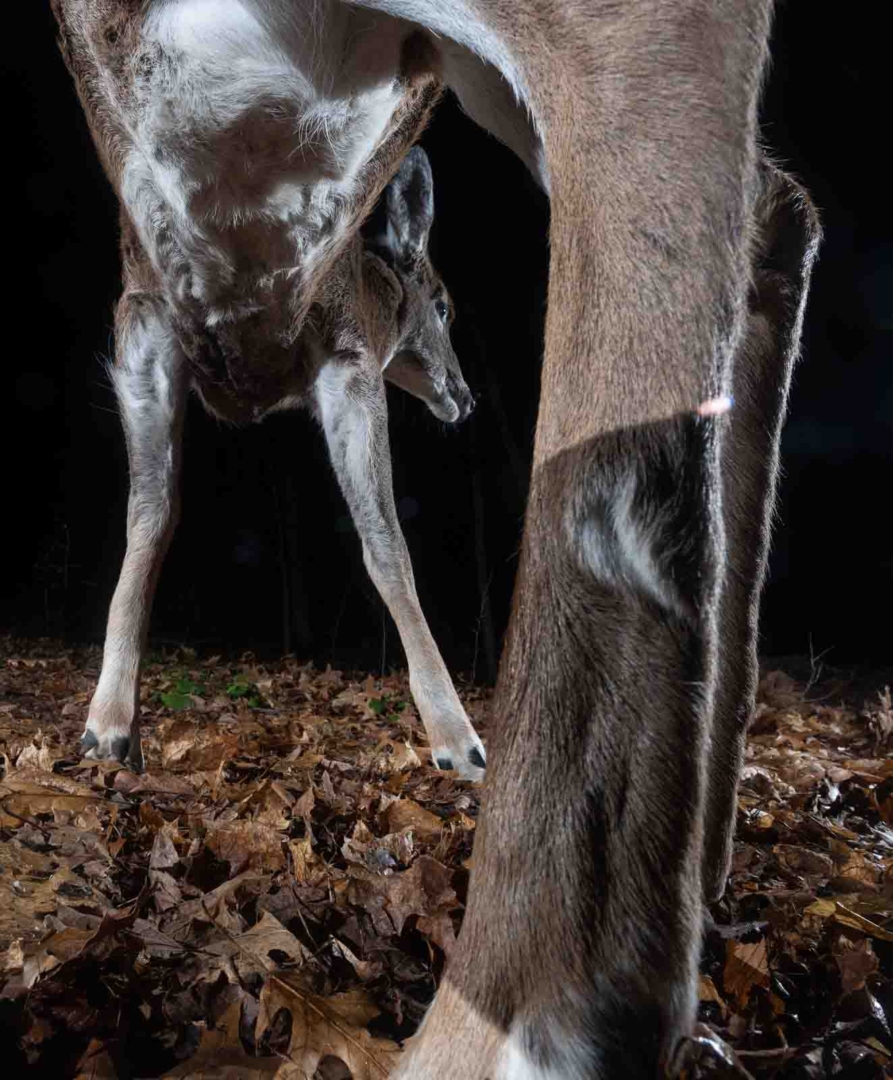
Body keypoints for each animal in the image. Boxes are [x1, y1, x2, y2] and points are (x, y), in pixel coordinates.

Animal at [51, 1, 819, 1077]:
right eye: (445, 303)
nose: (459, 396)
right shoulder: (147, 307)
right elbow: (151, 520)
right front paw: (107, 724)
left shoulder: (340, 353)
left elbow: (391, 545)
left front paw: (458, 738)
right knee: (768, 210)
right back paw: (701, 869)